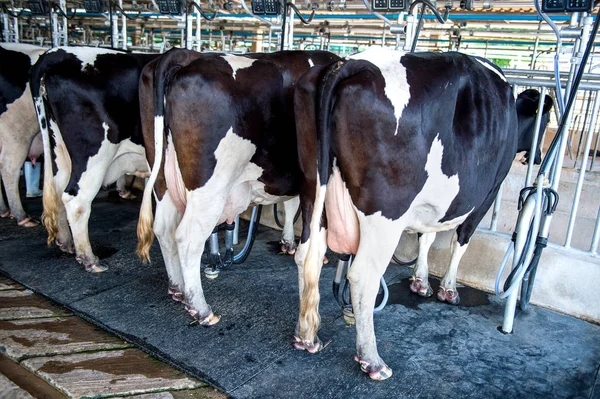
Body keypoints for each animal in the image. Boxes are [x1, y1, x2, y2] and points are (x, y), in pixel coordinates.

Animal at [30, 47, 158, 272]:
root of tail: (60, 52)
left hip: (59, 149)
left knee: (58, 189)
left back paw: (66, 242)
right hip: (93, 155)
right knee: (76, 200)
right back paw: (89, 258)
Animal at [138, 49, 340, 324]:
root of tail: (187, 56)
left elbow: (290, 205)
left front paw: (287, 241)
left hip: (161, 177)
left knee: (164, 228)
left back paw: (178, 289)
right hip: (209, 189)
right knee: (187, 238)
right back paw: (201, 308)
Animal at [296, 48, 520, 382]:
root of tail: (349, 63)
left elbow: (426, 237)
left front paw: (421, 281)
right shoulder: (485, 197)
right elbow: (460, 241)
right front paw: (448, 289)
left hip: (312, 190)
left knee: (306, 256)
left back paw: (306, 336)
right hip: (385, 212)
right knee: (363, 276)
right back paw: (372, 361)